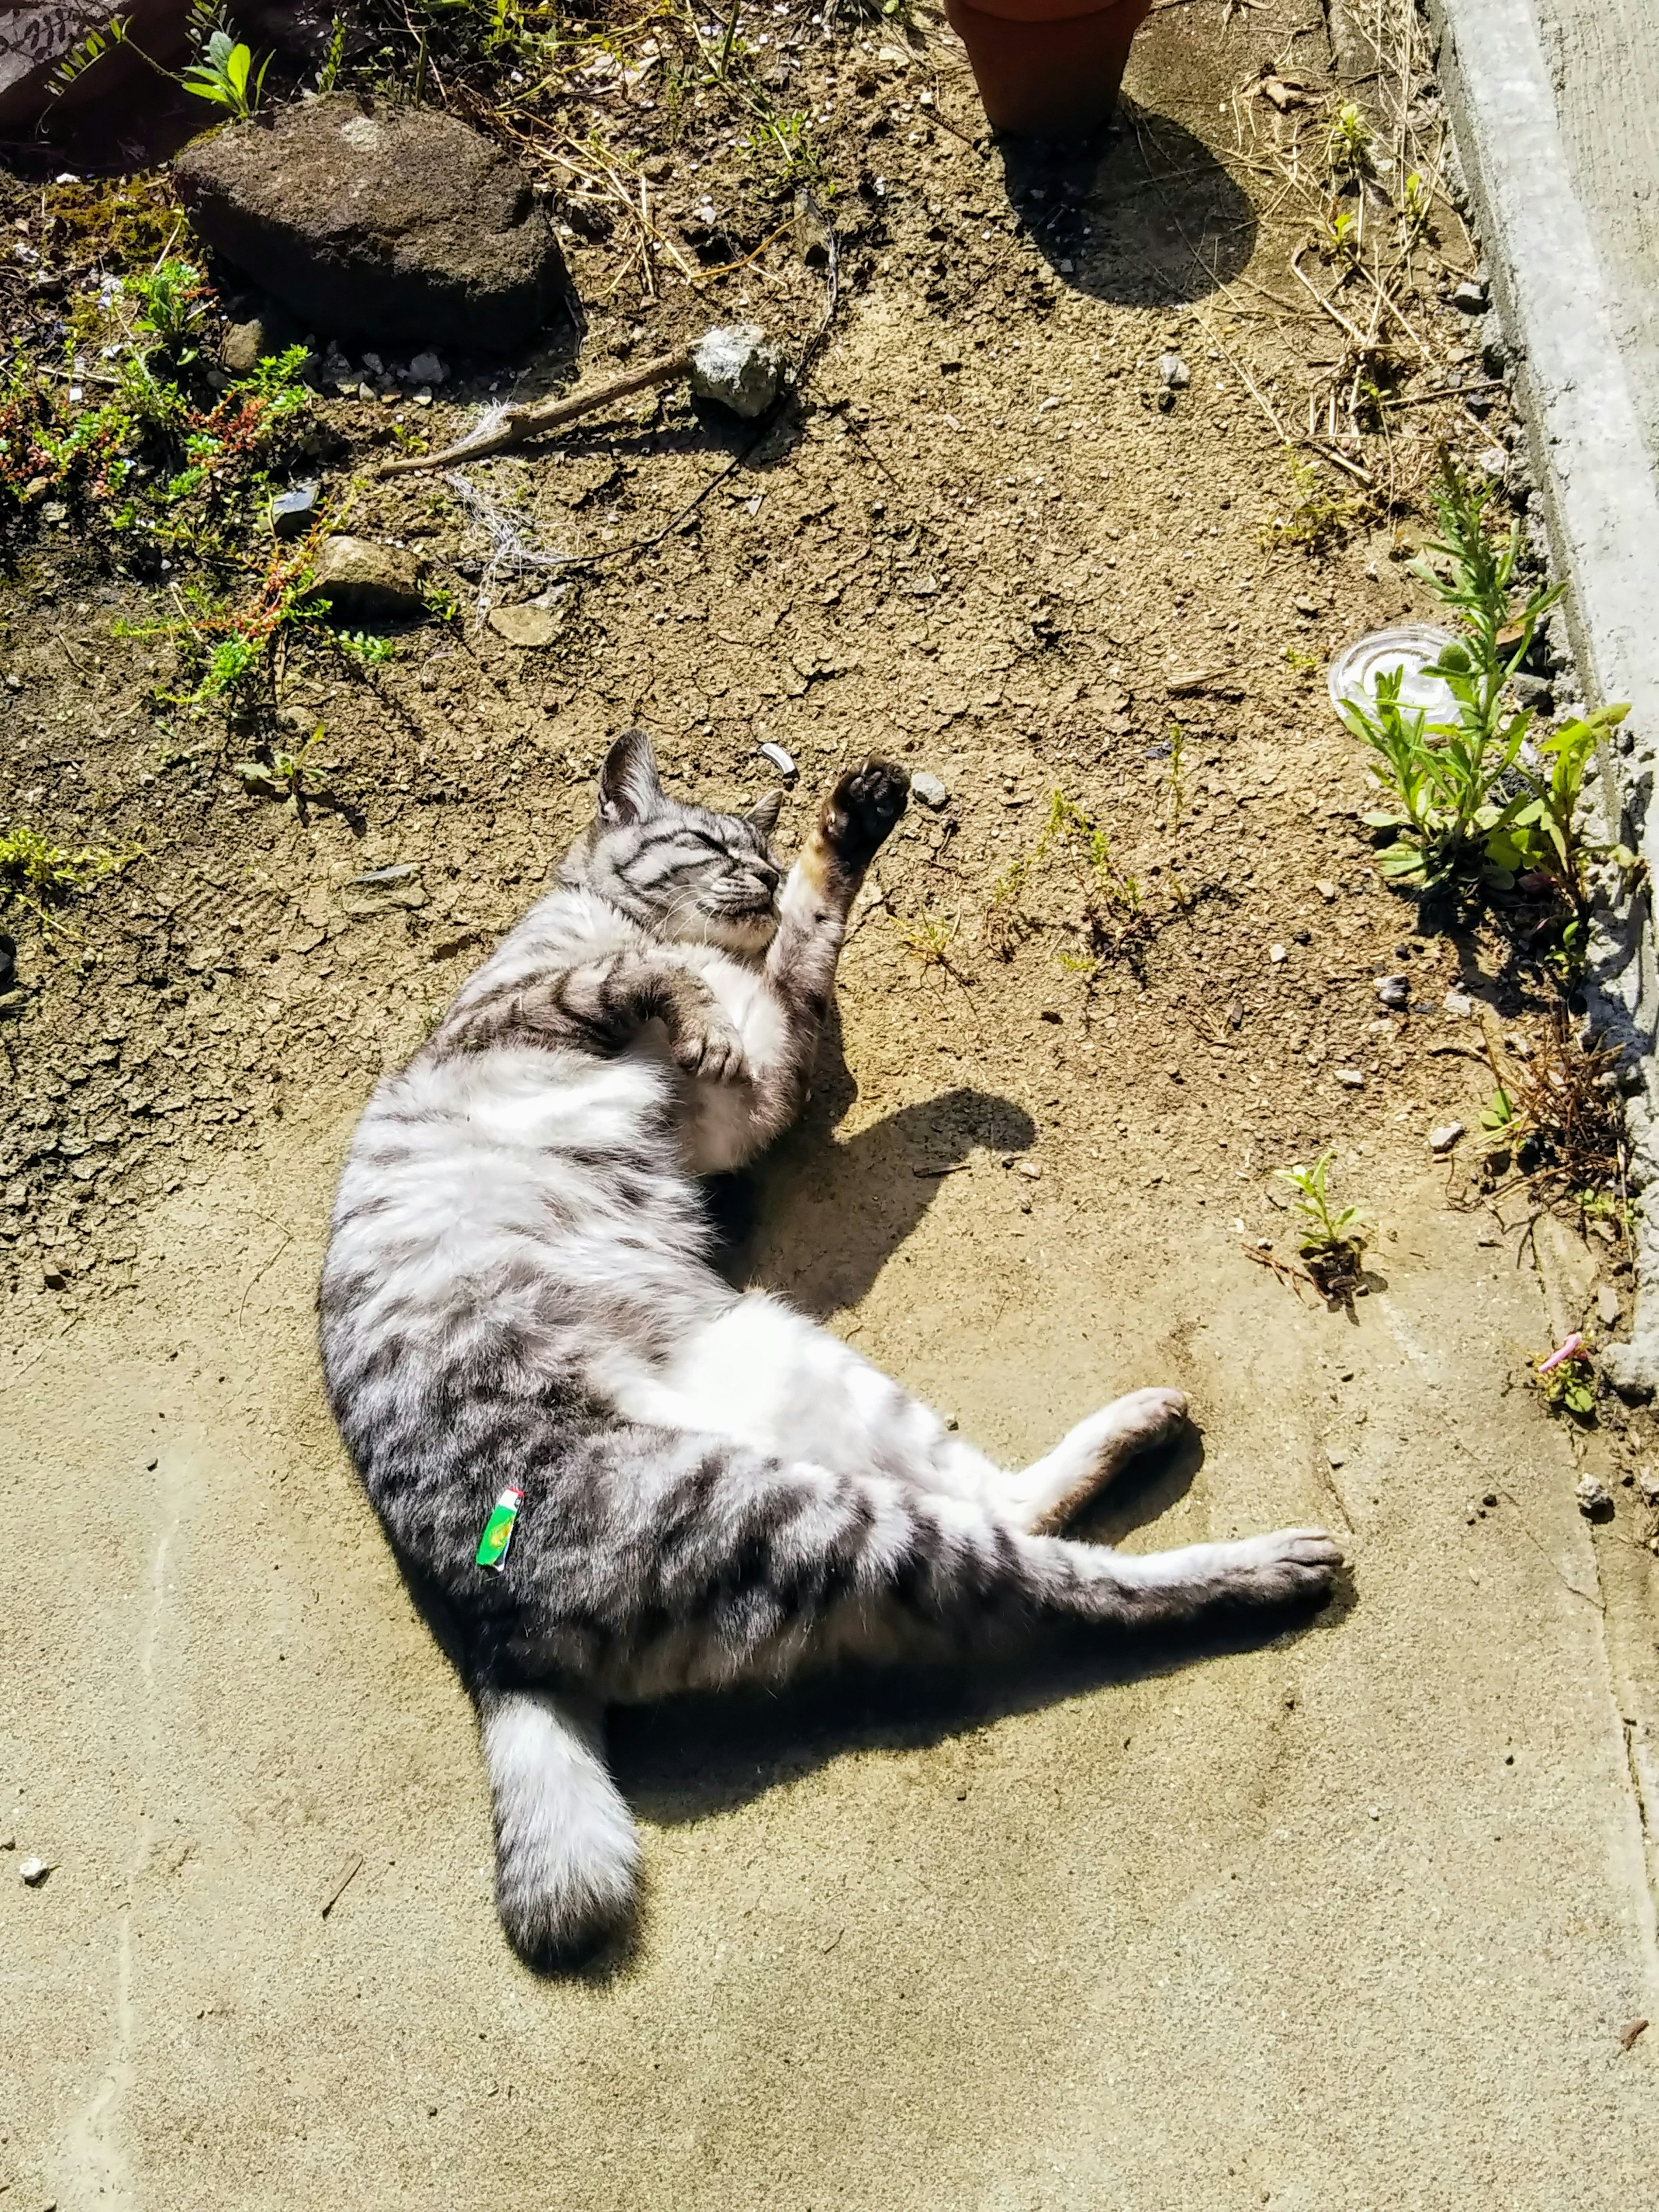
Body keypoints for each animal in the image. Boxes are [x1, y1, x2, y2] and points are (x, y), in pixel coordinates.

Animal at [318, 739, 1344, 1973]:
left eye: (755, 852)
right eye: (712, 845)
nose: (756, 877)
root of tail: (493, 1640)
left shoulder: (752, 1090)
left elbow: (808, 950)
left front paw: (847, 833)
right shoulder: (526, 1013)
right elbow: (647, 973)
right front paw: (727, 949)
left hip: (790, 1370)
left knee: (1011, 1508)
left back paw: (1141, 1431)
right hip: (800, 1508)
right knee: (1057, 1581)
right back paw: (1268, 1562)